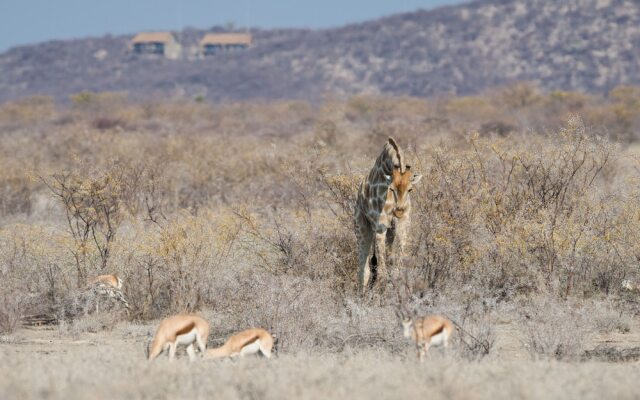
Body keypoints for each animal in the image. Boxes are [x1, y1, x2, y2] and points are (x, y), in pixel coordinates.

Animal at [352, 138, 422, 294]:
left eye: (410, 189)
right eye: (392, 188)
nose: (399, 211)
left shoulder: (402, 224)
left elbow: (396, 263)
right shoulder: (380, 228)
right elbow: (382, 269)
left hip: (390, 231)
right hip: (362, 228)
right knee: (364, 269)